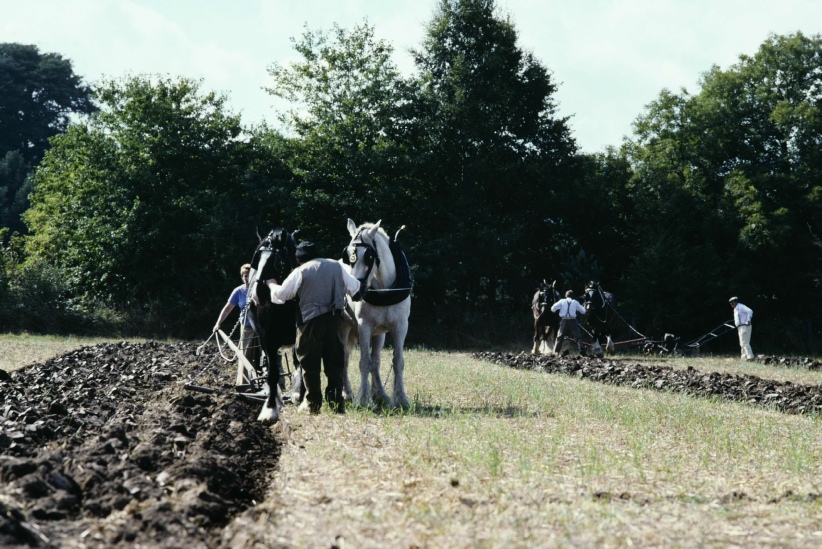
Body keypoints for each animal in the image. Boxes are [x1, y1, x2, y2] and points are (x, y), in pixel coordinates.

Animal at [246, 228, 301, 423]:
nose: (257, 294)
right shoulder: (268, 340)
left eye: (277, 260)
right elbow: (272, 374)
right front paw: (270, 408)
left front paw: (300, 395)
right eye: (257, 259)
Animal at [342, 219, 412, 409]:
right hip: (344, 329)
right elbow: (364, 362)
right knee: (344, 358)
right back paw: (347, 393)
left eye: (369, 256)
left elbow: (397, 361)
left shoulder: (400, 326)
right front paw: (364, 399)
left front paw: (400, 399)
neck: (384, 290)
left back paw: (380, 394)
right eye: (348, 255)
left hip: (379, 334)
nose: (355, 291)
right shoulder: (363, 326)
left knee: (376, 360)